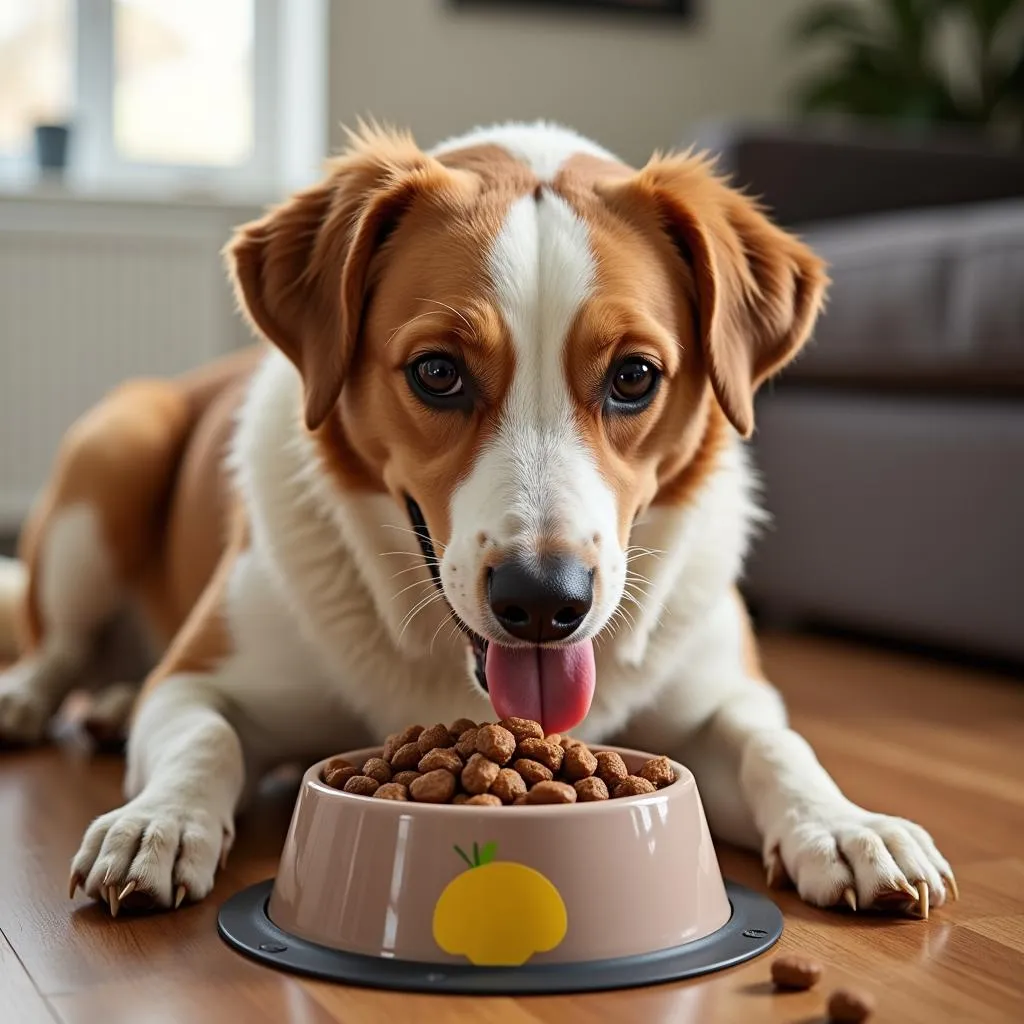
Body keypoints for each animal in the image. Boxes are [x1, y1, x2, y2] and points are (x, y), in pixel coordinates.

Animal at [0, 121, 950, 921]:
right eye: (437, 372)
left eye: (635, 377)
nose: (544, 602)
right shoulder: (195, 680)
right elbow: (204, 738)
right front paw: (156, 822)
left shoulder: (723, 697)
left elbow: (777, 746)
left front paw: (846, 824)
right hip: (116, 448)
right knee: (61, 648)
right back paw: (36, 699)